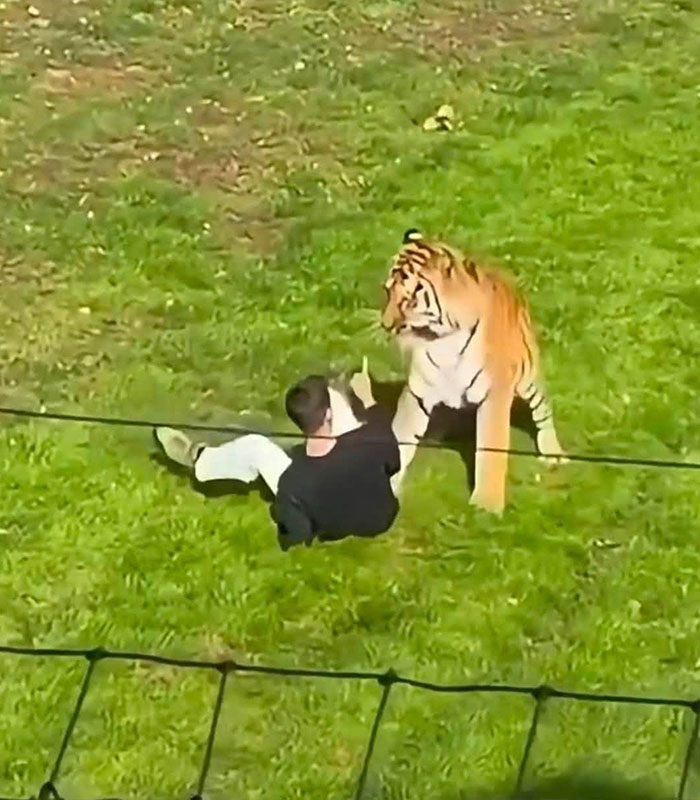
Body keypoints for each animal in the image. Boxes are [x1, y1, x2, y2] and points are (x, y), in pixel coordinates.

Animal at [381, 228, 566, 515]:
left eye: (410, 299)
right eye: (388, 291)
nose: (385, 325)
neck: (442, 338)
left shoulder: (494, 395)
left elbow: (490, 449)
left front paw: (486, 505)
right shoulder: (418, 392)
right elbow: (401, 435)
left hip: (529, 378)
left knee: (543, 411)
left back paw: (552, 452)